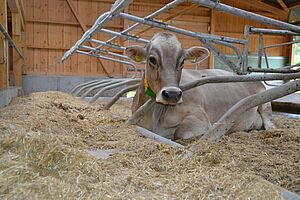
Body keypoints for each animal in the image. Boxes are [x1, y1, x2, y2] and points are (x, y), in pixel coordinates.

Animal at [124, 32, 274, 139]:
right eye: (152, 59)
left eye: (182, 61)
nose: (172, 94)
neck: (155, 115)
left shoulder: (200, 118)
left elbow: (179, 133)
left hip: (265, 104)